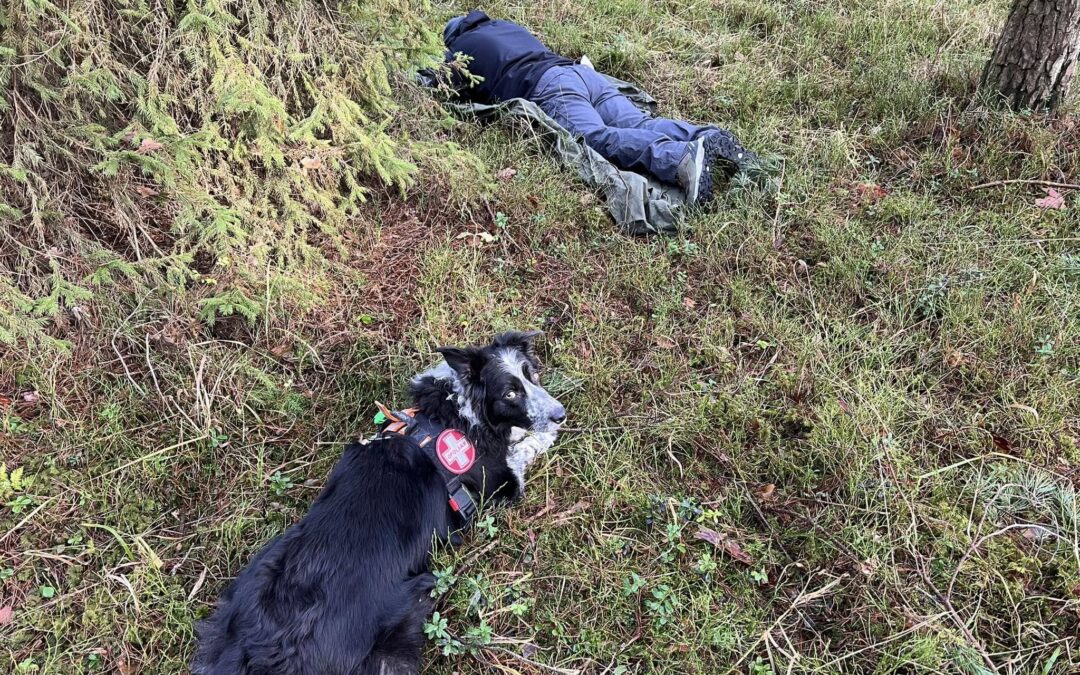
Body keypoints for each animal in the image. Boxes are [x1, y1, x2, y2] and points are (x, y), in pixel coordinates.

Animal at [193, 332, 565, 673]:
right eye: (510, 393)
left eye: (532, 375)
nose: (560, 413)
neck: (452, 410)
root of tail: (266, 651)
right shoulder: (502, 482)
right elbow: (532, 443)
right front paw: (547, 433)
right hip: (413, 608)